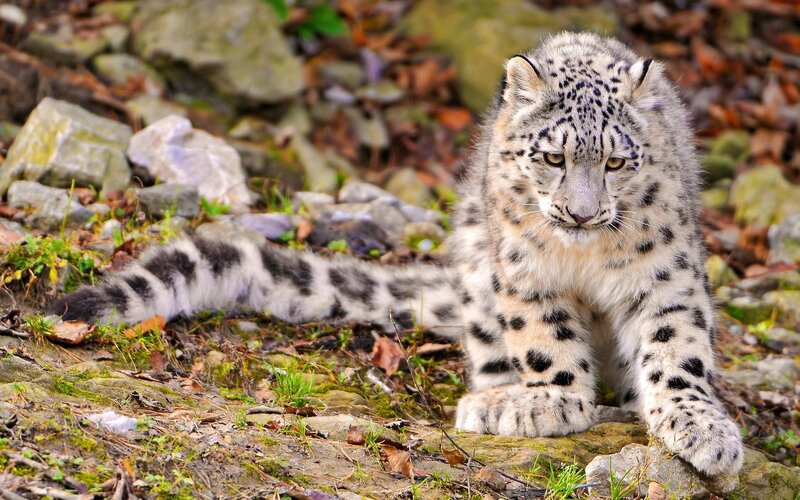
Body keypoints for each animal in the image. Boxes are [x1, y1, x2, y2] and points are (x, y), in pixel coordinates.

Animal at [51, 32, 743, 476]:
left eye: (616, 162)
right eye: (553, 157)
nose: (582, 213)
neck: (583, 259)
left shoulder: (665, 274)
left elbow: (676, 347)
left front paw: (701, 428)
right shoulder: (525, 273)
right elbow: (546, 339)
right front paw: (551, 400)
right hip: (477, 265)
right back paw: (494, 400)